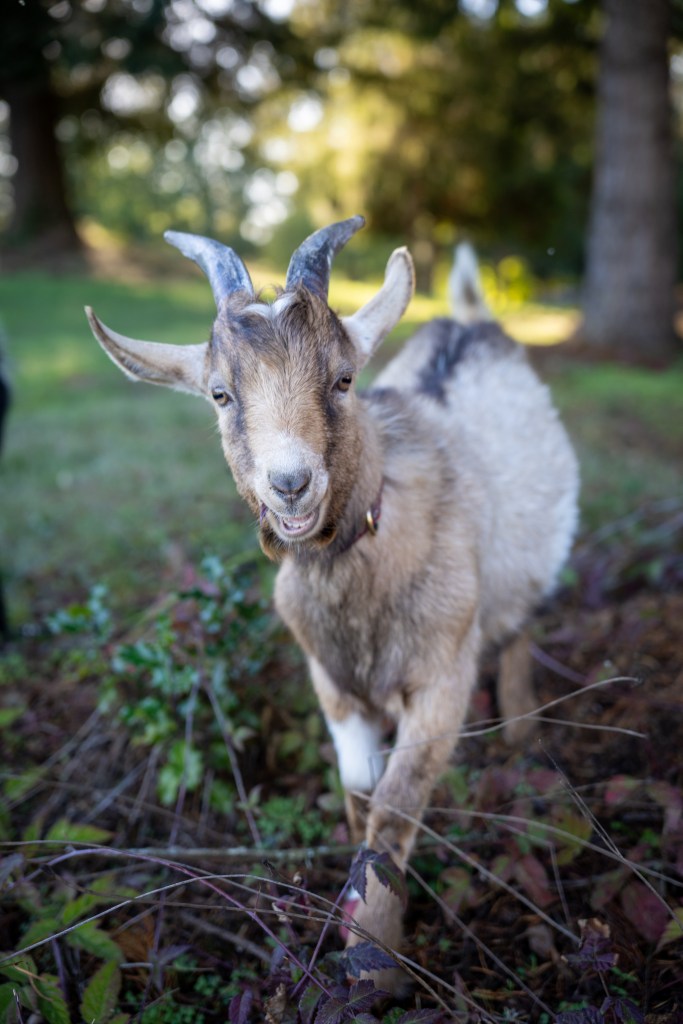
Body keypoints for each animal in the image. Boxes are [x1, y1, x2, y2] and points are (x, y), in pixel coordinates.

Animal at [86, 217, 579, 992]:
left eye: (344, 379)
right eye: (221, 395)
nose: (291, 484)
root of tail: (469, 321)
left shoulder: (442, 674)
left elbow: (397, 806)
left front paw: (372, 965)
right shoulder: (332, 682)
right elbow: (358, 786)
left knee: (522, 624)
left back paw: (525, 733)